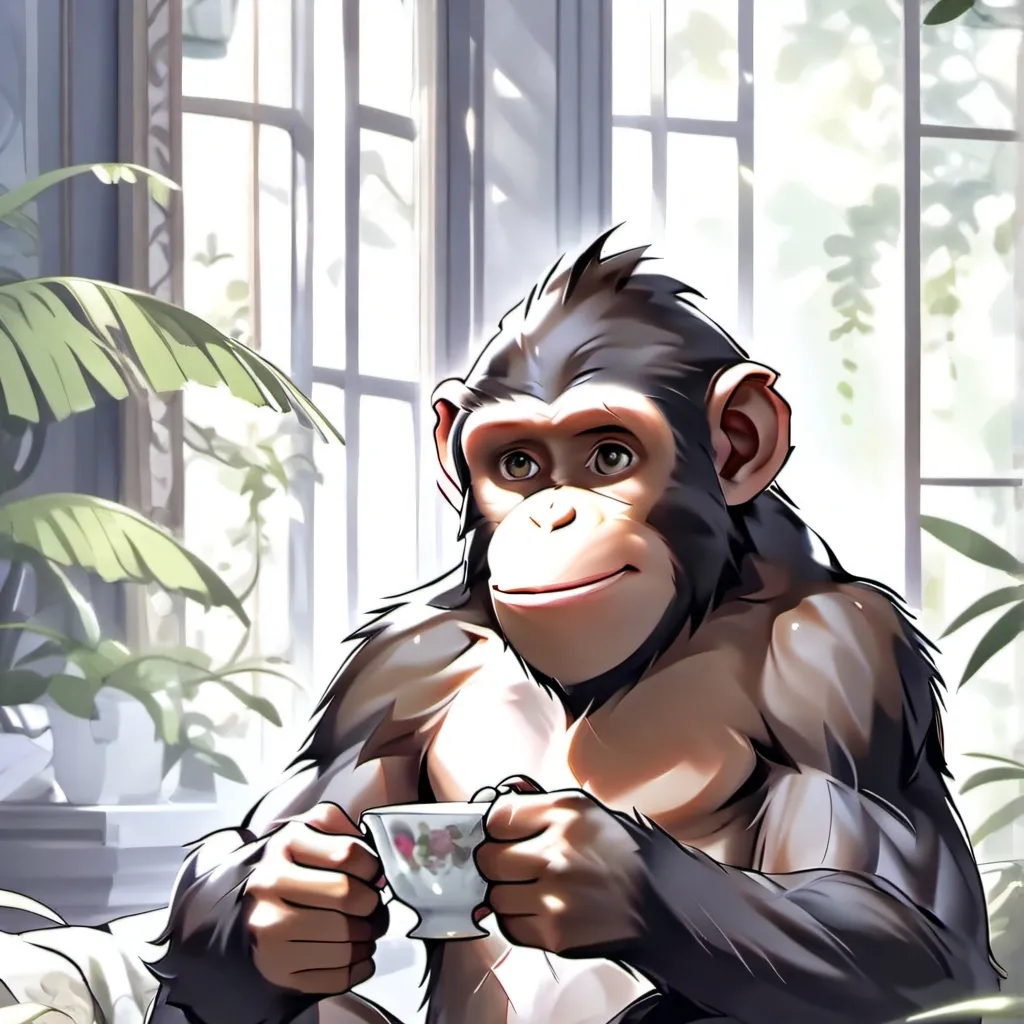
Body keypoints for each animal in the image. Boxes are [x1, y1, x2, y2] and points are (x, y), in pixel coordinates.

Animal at [146, 228, 999, 1024]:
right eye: (519, 466)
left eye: (611, 457)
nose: (552, 517)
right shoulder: (392, 675)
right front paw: (290, 900)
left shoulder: (841, 665)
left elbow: (922, 941)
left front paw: (598, 867)